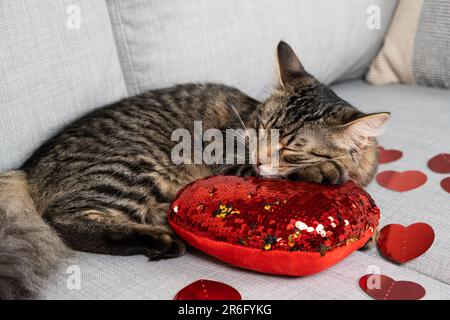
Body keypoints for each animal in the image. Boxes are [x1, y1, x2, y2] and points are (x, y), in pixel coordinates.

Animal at [0, 41, 386, 298]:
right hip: (137, 165)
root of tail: (27, 168)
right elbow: (284, 173)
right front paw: (324, 171)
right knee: (64, 223)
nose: (260, 156)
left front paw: (368, 235)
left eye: (289, 148)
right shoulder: (232, 160)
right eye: (261, 129)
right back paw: (162, 239)